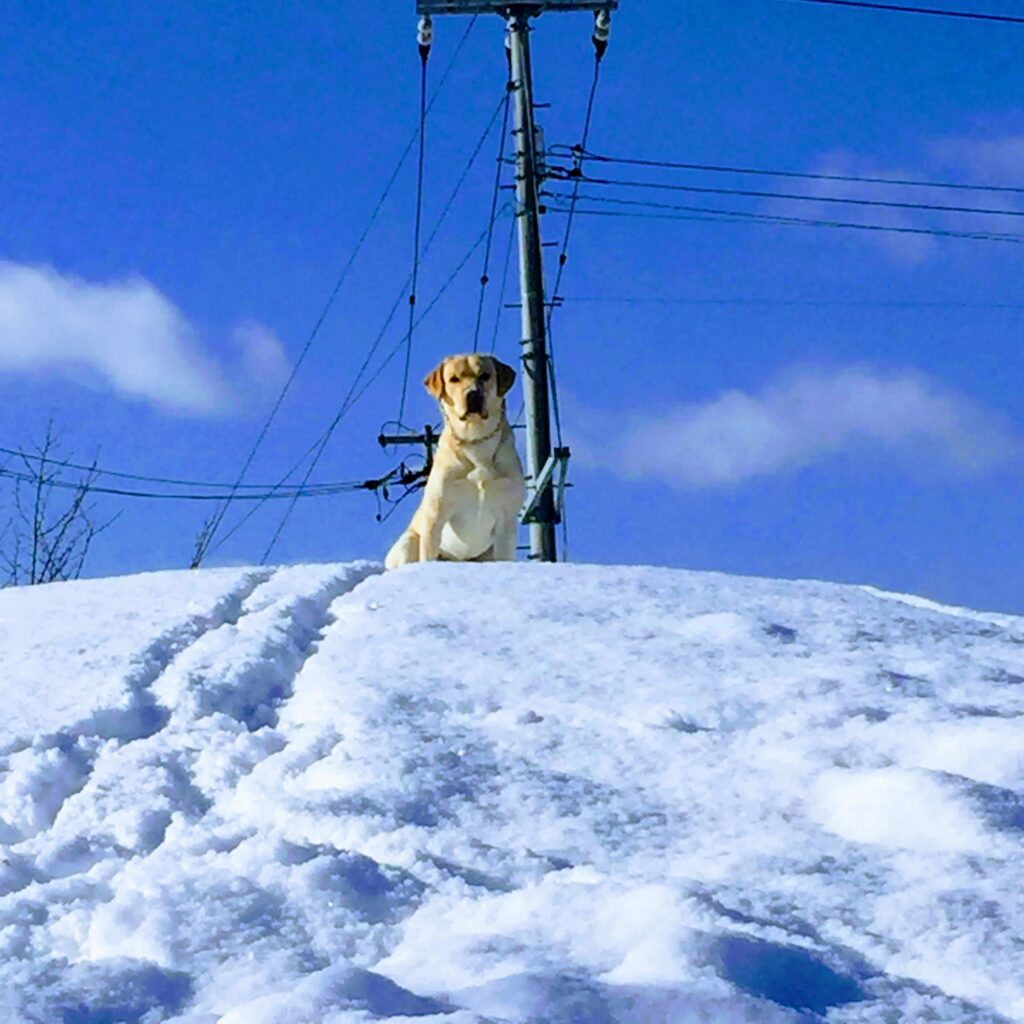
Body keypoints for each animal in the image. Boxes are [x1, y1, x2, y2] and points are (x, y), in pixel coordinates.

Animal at [385, 356, 524, 569]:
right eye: (454, 379)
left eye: (485, 376)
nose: (473, 394)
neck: (476, 440)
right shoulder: (436, 516)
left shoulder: (506, 518)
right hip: (408, 542)